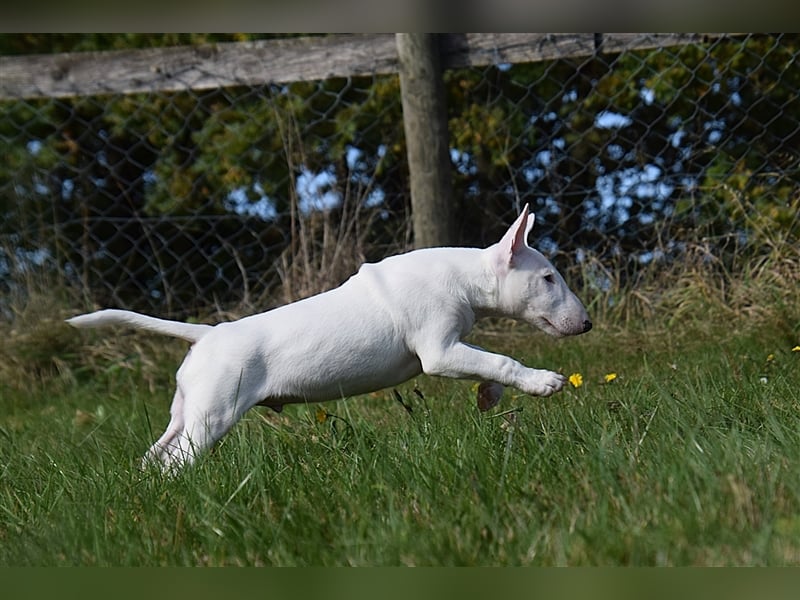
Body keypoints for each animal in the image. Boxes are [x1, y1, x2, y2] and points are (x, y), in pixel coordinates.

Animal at [69, 204, 592, 472]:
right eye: (548, 278)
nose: (586, 326)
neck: (466, 276)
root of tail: (208, 334)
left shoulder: (452, 348)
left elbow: (488, 362)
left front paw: (488, 398)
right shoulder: (438, 352)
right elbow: (499, 358)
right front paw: (543, 382)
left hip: (187, 409)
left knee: (154, 456)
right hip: (213, 415)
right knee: (176, 461)